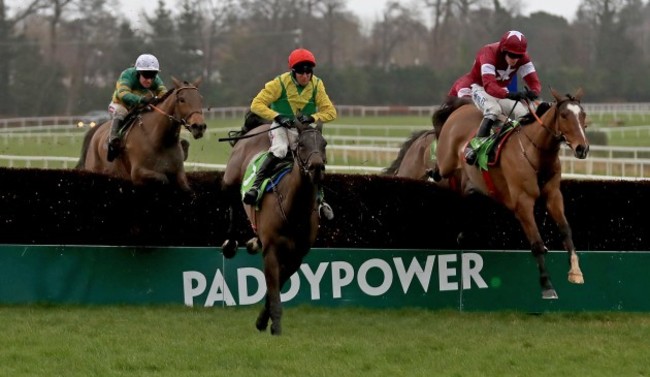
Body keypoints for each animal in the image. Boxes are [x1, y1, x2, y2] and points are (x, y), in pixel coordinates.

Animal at [77, 75, 206, 191]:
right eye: (182, 100)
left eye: (201, 99)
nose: (199, 126)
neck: (159, 140)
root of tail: (97, 129)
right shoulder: (138, 173)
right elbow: (163, 179)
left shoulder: (179, 172)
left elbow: (185, 186)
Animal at [220, 119, 326, 334]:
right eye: (302, 145)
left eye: (324, 144)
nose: (317, 167)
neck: (294, 208)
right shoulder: (271, 250)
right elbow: (273, 286)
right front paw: (275, 326)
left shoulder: (296, 256)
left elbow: (276, 286)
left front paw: (262, 320)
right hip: (230, 178)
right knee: (231, 200)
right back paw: (230, 244)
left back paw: (253, 241)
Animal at [430, 87, 588, 296]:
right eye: (563, 115)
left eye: (583, 115)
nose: (582, 148)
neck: (535, 153)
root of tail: (461, 107)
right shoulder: (523, 202)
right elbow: (537, 243)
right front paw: (547, 285)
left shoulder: (554, 195)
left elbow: (565, 231)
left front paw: (576, 272)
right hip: (447, 162)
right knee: (441, 170)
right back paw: (432, 171)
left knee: (465, 193)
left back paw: (463, 233)